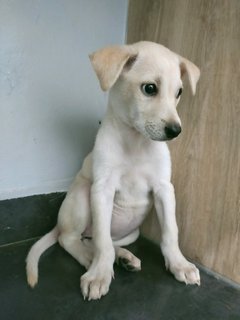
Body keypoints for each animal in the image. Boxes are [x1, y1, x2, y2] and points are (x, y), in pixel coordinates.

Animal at [25, 42, 201, 300]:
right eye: (149, 88)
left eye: (179, 92)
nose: (175, 131)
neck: (136, 142)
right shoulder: (102, 189)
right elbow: (102, 241)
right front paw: (99, 275)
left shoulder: (164, 189)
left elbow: (170, 232)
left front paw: (180, 264)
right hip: (82, 195)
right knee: (74, 239)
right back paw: (92, 261)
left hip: (130, 233)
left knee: (98, 240)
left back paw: (123, 257)